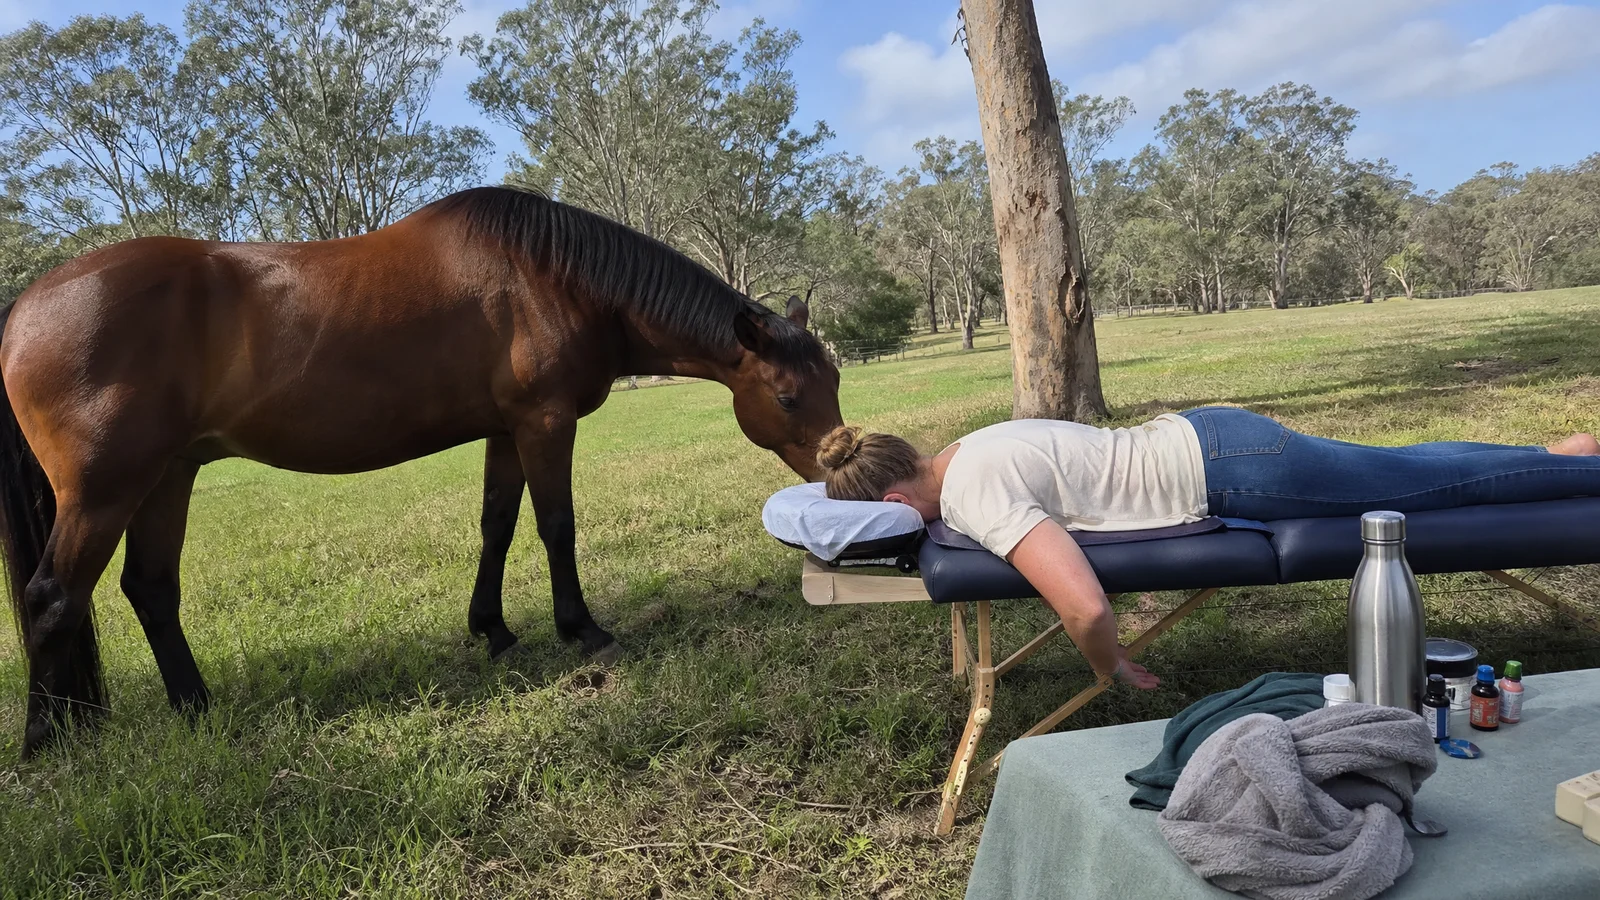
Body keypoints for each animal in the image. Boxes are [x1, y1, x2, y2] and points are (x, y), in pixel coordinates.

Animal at [0, 186, 843, 756]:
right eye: (788, 396)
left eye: (833, 377)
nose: (843, 465)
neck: (555, 276)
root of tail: (26, 307)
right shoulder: (545, 423)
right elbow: (555, 525)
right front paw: (582, 628)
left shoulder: (507, 429)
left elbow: (497, 525)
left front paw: (493, 629)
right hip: (106, 490)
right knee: (52, 597)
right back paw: (47, 742)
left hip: (167, 477)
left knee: (150, 589)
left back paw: (196, 709)